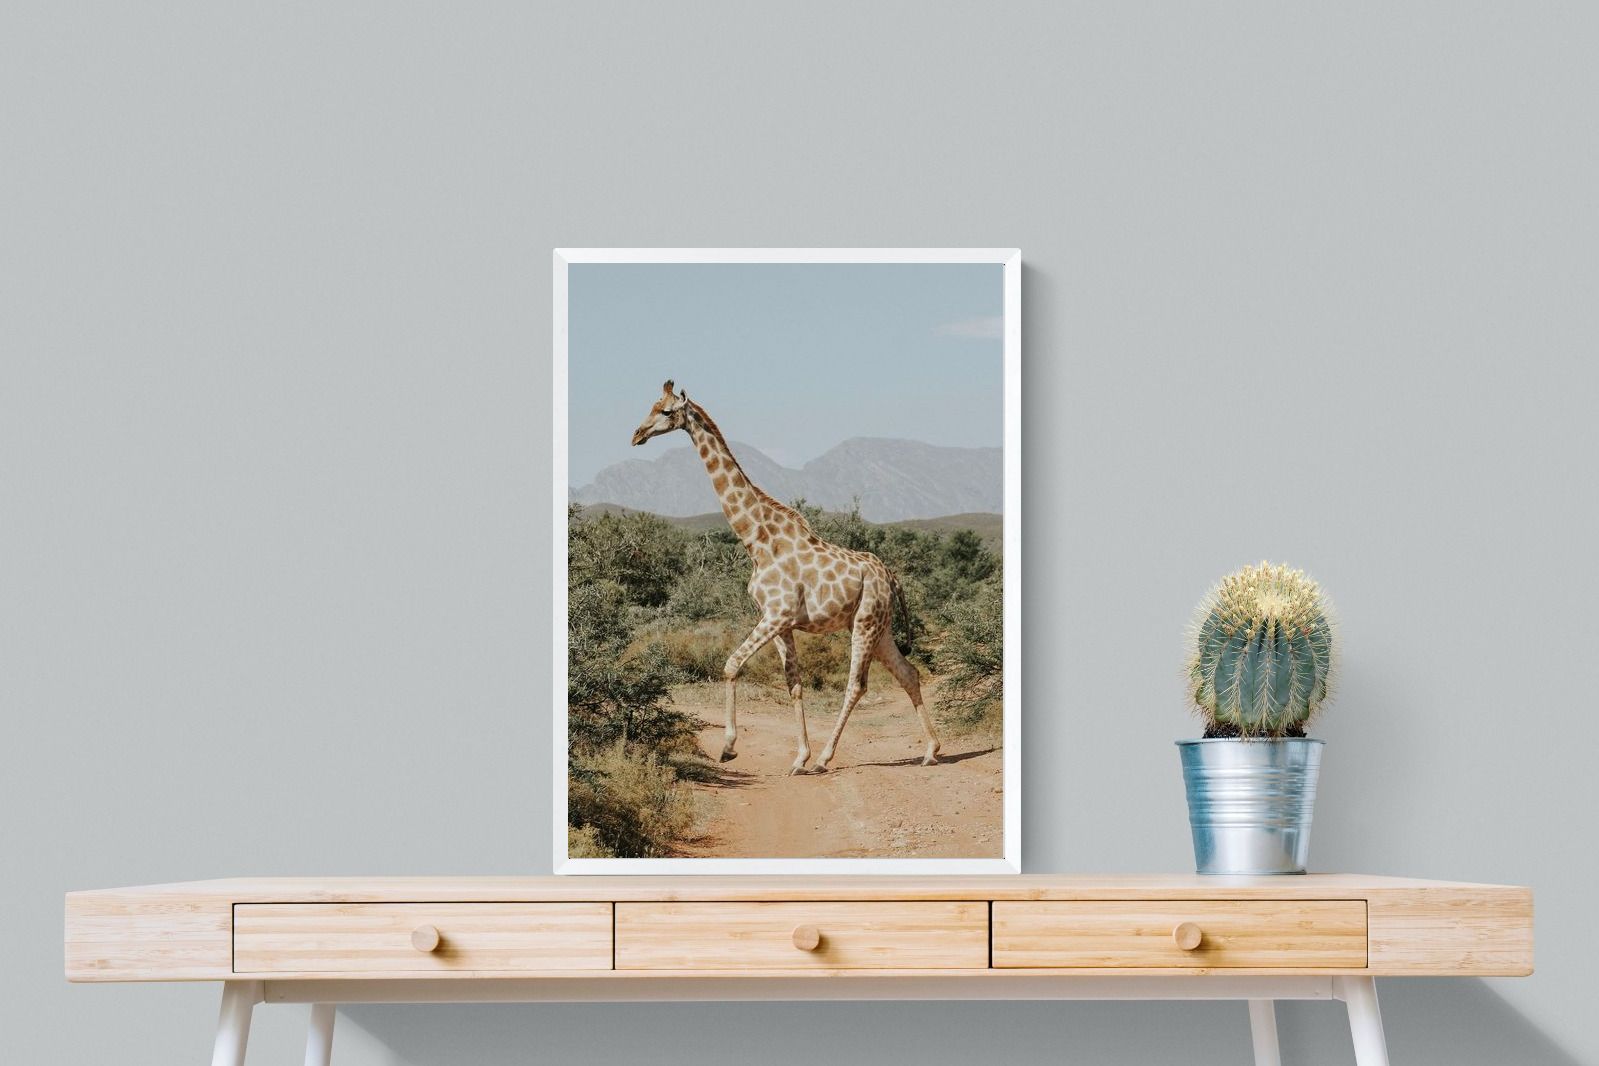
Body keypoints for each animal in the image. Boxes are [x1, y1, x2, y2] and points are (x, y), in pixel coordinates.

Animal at [630, 380, 941, 774]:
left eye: (667, 411)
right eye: (651, 405)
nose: (637, 435)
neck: (757, 540)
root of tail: (891, 577)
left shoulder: (776, 615)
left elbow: (731, 665)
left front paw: (729, 747)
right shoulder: (780, 623)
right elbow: (794, 684)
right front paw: (798, 757)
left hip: (866, 622)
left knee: (857, 685)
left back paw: (826, 758)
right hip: (880, 627)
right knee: (908, 673)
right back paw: (931, 750)